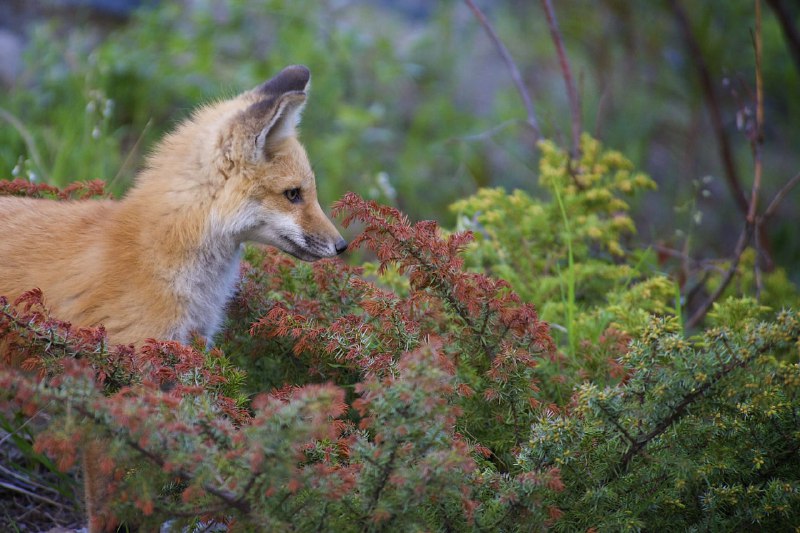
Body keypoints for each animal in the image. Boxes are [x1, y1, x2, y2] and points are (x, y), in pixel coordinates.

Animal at [1, 65, 348, 528]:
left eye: (308, 192)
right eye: (293, 194)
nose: (342, 246)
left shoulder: (176, 373)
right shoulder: (112, 388)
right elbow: (108, 503)